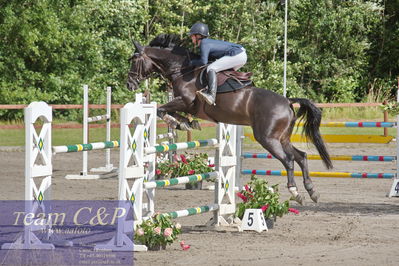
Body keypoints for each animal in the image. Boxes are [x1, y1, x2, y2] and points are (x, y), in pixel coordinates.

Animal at [128, 33, 334, 204]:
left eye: (134, 61)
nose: (129, 84)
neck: (182, 70)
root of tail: (287, 101)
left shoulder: (186, 101)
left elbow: (160, 110)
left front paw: (177, 122)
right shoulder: (185, 104)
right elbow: (169, 112)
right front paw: (187, 123)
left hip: (267, 138)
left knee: (289, 160)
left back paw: (295, 192)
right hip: (282, 137)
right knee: (301, 156)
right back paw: (312, 191)